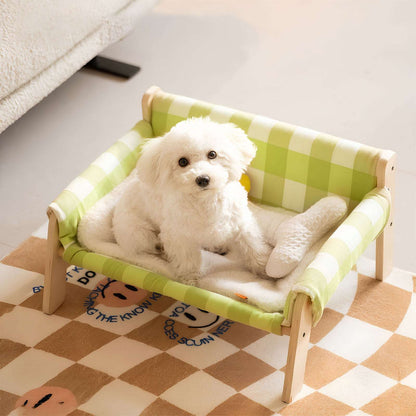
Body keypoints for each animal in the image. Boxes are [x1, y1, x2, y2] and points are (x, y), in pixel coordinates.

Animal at [78, 118, 272, 286]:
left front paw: (262, 268)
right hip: (140, 234)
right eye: (182, 162)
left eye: (212, 154)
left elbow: (253, 246)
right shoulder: (179, 237)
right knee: (151, 248)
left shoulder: (242, 223)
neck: (206, 202)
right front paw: (189, 279)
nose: (203, 179)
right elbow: (187, 260)